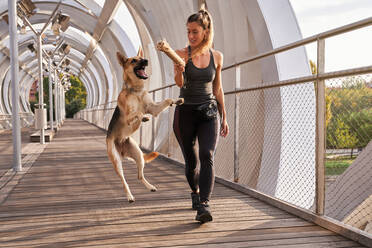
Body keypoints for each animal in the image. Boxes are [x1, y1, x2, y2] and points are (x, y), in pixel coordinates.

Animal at [106, 47, 183, 202]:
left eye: (141, 58)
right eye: (133, 60)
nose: (146, 60)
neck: (136, 91)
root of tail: (121, 149)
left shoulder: (153, 108)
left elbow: (167, 100)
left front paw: (176, 101)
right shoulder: (129, 116)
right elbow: (138, 113)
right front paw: (144, 118)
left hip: (139, 157)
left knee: (139, 176)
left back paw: (150, 187)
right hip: (116, 161)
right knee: (123, 180)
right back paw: (129, 195)